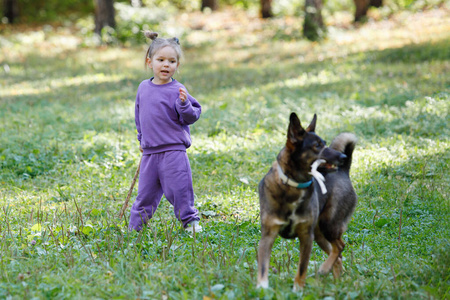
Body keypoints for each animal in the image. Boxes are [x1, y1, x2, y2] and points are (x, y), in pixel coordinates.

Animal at [256, 112, 358, 290]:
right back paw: (336, 281)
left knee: (339, 246)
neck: (293, 185)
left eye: (325, 143)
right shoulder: (268, 236)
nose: (343, 156)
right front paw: (262, 289)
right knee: (337, 253)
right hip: (319, 234)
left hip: (328, 224)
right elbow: (263, 267)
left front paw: (297, 289)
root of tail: (344, 171)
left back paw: (325, 268)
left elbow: (302, 268)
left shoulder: (306, 237)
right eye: (317, 145)